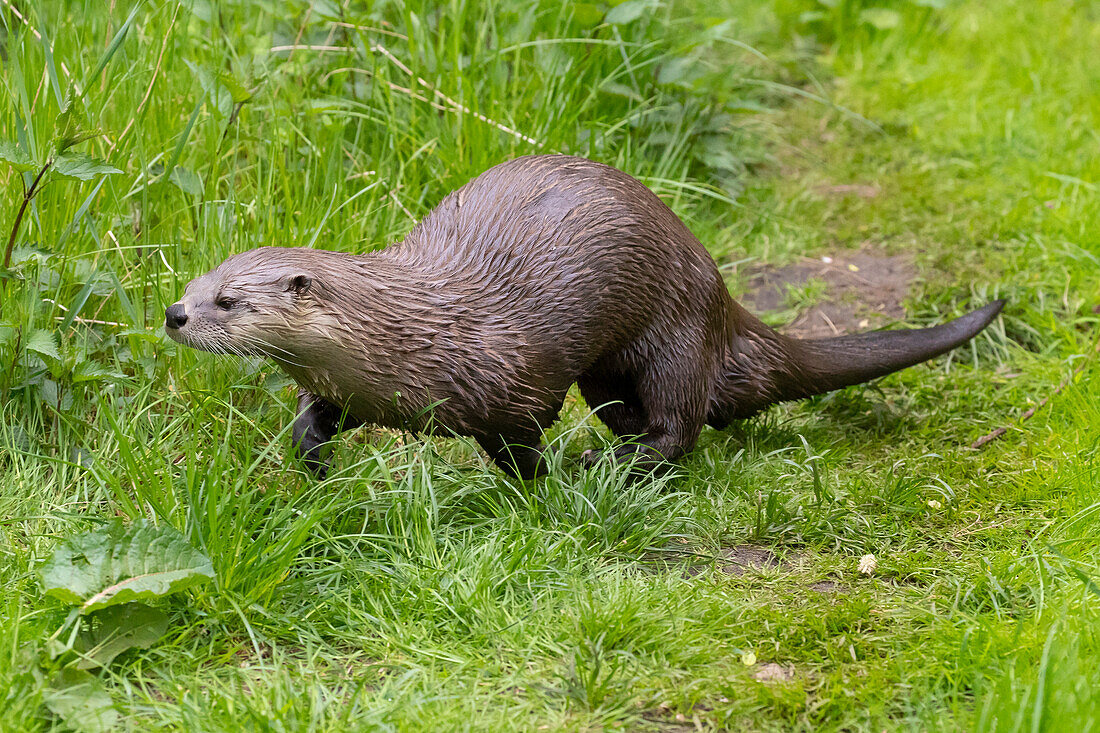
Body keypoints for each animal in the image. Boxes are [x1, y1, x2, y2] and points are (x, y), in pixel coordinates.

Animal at [165, 152, 1007, 479]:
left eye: (227, 300)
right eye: (196, 280)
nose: (175, 314)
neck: (411, 336)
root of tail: (721, 297)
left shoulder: (513, 380)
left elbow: (522, 442)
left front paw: (537, 488)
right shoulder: (349, 383)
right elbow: (318, 411)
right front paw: (310, 454)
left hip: (673, 334)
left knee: (680, 424)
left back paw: (615, 466)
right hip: (611, 372)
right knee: (640, 414)